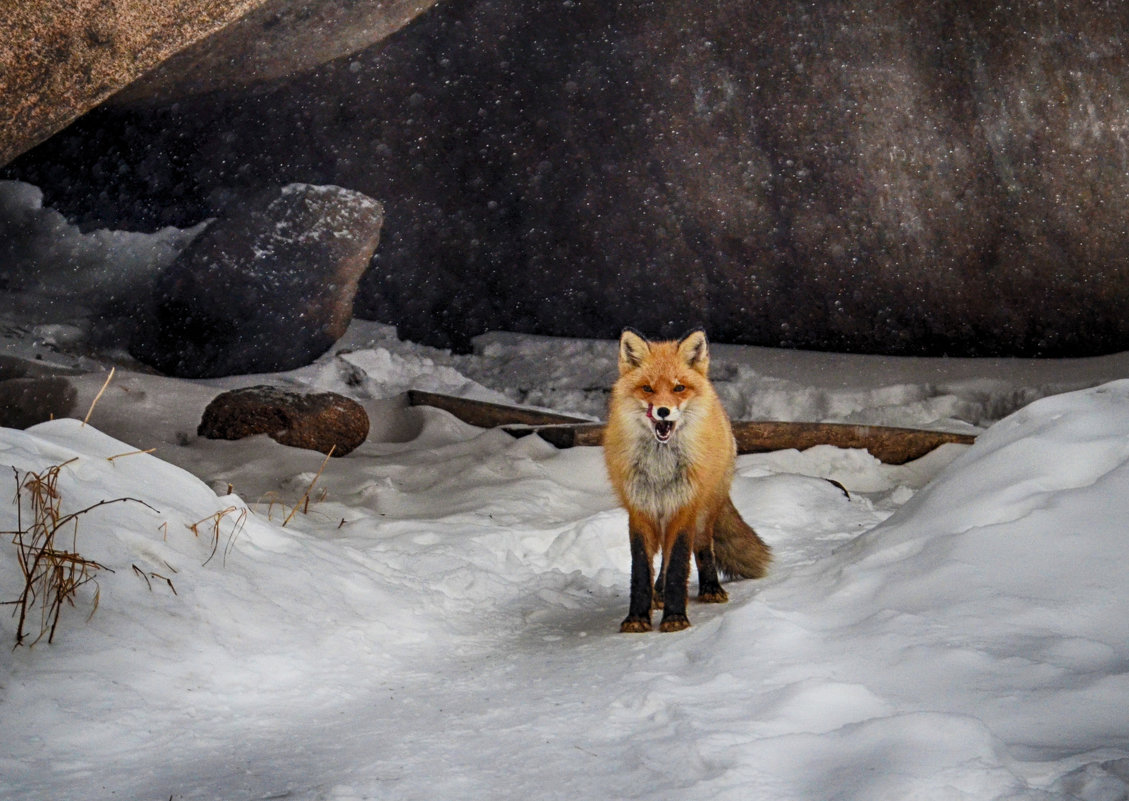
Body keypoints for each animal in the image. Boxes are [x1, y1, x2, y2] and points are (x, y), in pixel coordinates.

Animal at [605, 325, 772, 632]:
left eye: (678, 387)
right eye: (648, 388)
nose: (662, 411)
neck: (660, 467)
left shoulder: (684, 508)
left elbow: (679, 564)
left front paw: (675, 618)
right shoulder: (640, 510)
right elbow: (641, 570)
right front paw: (637, 618)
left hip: (704, 511)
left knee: (703, 548)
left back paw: (710, 588)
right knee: (662, 560)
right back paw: (658, 595)